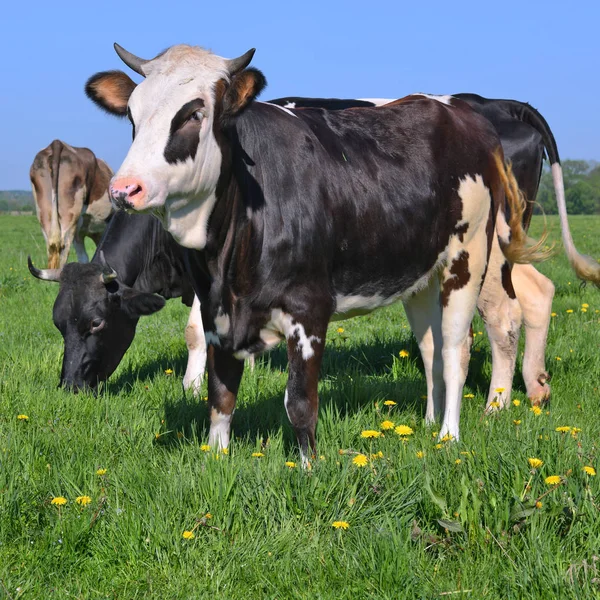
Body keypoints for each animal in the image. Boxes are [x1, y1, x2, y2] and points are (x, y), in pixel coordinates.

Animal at [30, 140, 115, 268]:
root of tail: (57, 143)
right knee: (63, 251)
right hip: (69, 218)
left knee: (52, 248)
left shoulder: (80, 234)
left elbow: (84, 258)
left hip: (44, 216)